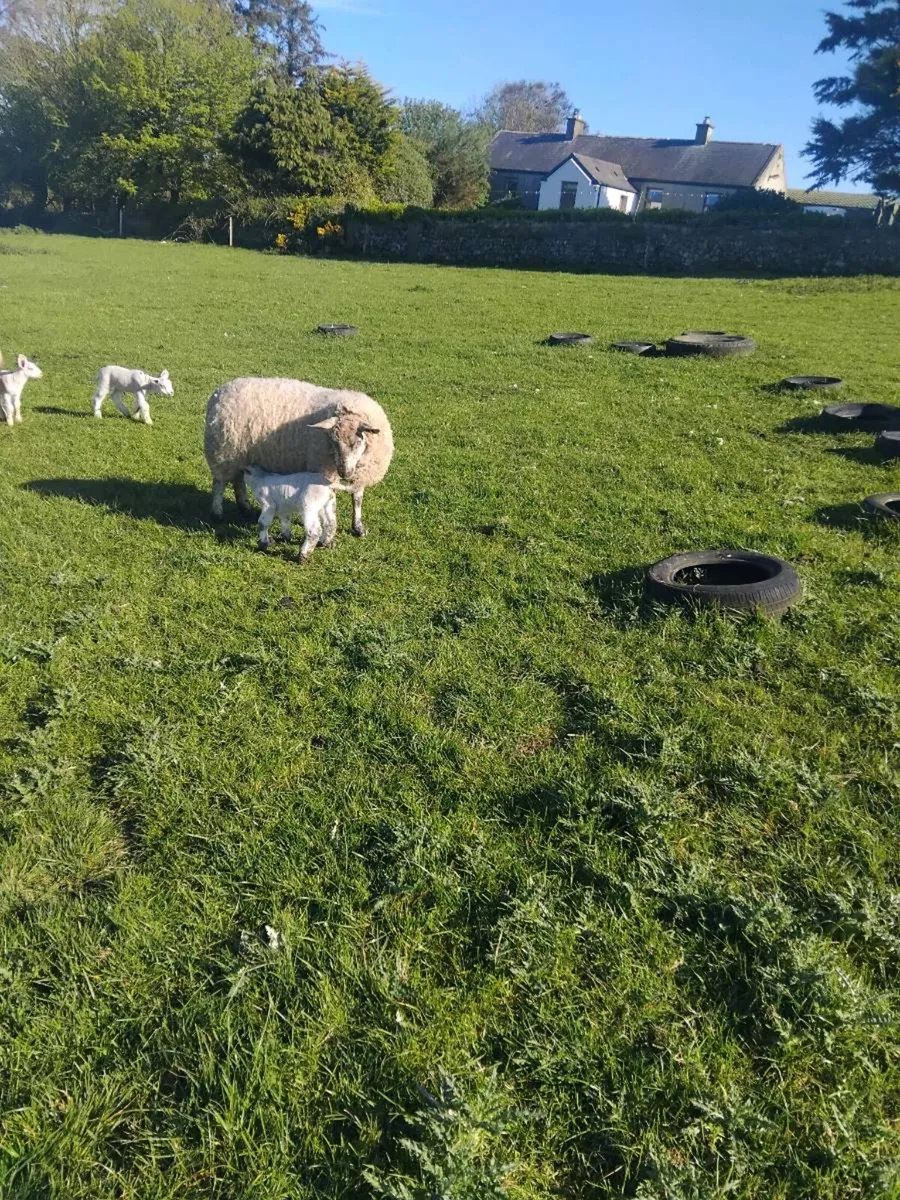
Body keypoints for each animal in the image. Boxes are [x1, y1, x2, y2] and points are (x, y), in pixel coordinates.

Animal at [204, 377, 394, 537]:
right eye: (333, 441)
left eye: (358, 441)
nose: (344, 473)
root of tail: (219, 392)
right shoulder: (323, 472)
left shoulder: (361, 473)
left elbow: (357, 499)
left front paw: (358, 527)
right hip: (222, 452)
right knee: (219, 483)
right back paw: (217, 513)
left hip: (237, 455)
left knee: (237, 481)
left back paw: (245, 508)